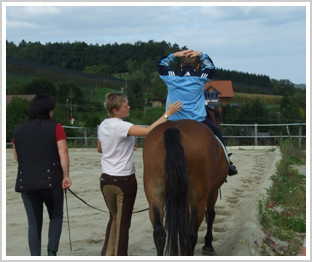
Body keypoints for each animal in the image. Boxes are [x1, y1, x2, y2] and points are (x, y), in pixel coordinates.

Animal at [143, 119, 228, 256]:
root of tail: (174, 128)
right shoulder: (212, 192)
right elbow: (210, 215)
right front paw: (208, 245)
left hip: (155, 194)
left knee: (159, 232)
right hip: (198, 198)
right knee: (191, 233)